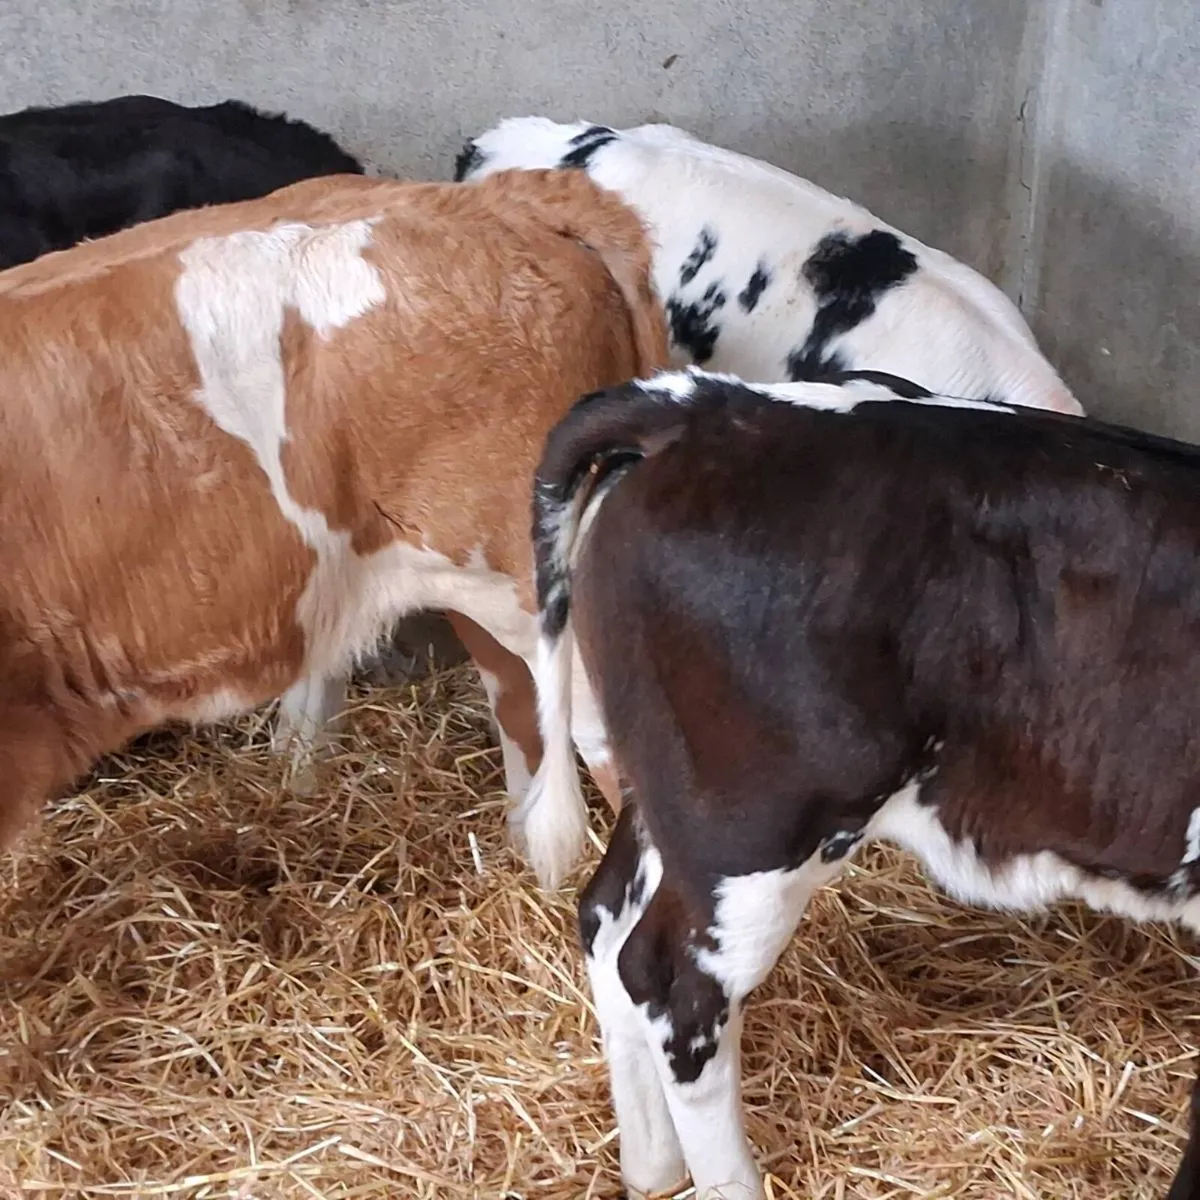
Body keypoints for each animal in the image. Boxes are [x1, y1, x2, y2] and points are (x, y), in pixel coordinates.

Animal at [521, 366, 1200, 1199]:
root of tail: (707, 405)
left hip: (670, 797)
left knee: (605, 914)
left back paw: (652, 1167)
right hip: (753, 828)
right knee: (671, 986)